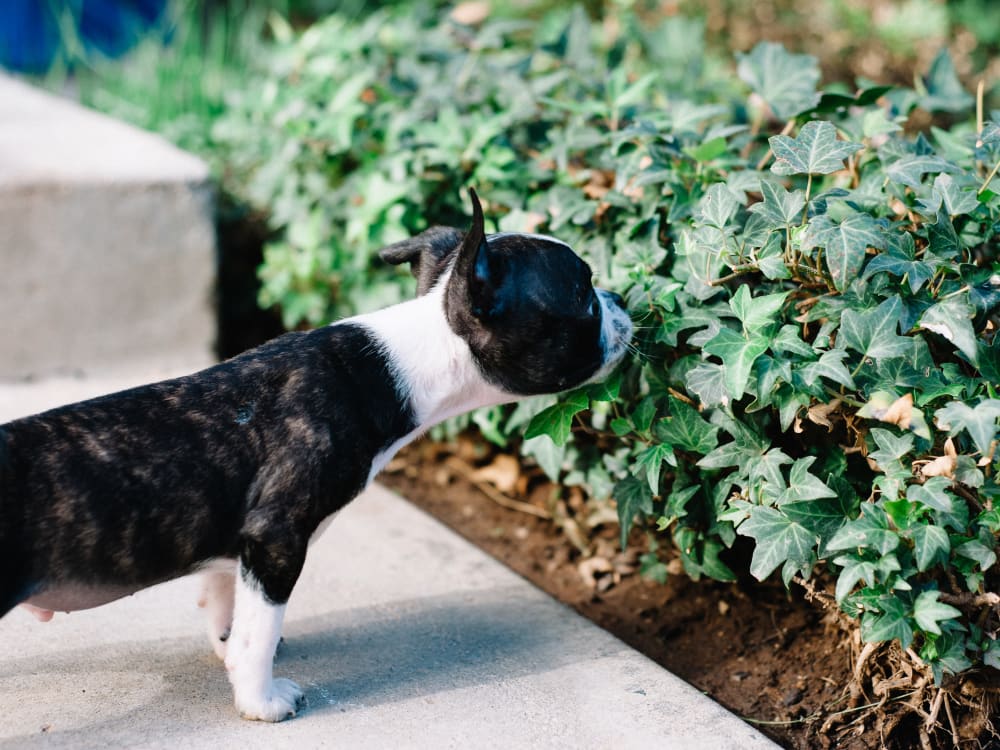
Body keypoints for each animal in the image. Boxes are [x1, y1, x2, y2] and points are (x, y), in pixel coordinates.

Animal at [0, 189, 628, 724]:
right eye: (584, 294)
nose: (622, 299)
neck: (408, 358)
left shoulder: (239, 545)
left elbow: (231, 608)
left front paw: (230, 651)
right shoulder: (275, 537)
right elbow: (257, 633)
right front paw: (260, 700)